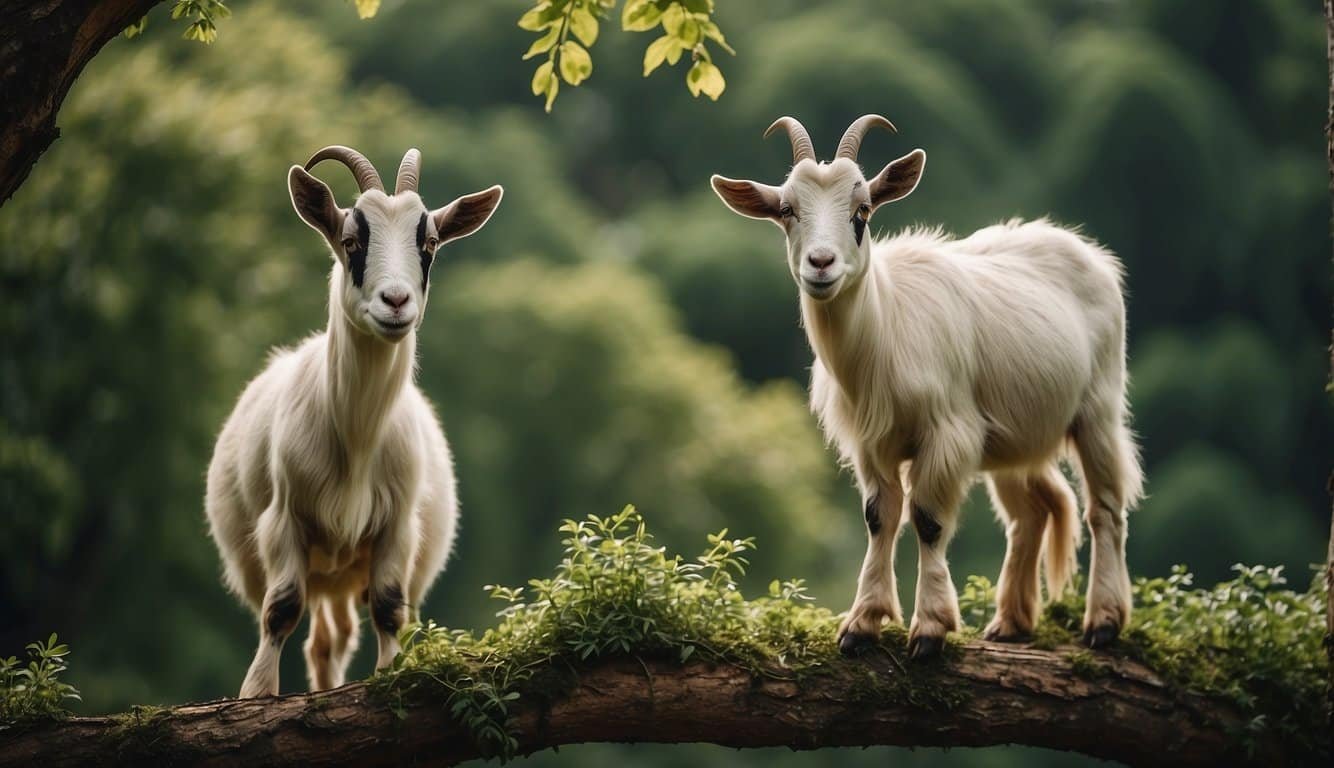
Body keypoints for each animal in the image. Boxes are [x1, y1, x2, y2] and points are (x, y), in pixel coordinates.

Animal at [205, 146, 501, 698]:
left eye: (429, 243)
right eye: (350, 241)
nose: (396, 301)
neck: (357, 439)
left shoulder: (396, 526)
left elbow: (388, 608)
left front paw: (392, 675)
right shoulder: (286, 520)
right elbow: (280, 610)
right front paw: (257, 693)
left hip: (351, 574)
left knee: (335, 637)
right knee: (313, 630)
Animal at [715, 115, 1141, 661]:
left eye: (862, 210)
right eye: (787, 210)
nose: (821, 263)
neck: (885, 330)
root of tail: (1090, 254)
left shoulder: (947, 430)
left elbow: (927, 518)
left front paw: (931, 628)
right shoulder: (872, 445)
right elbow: (880, 517)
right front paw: (861, 624)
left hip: (1097, 408)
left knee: (1104, 508)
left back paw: (1103, 622)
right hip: (1014, 434)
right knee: (1033, 512)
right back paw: (1010, 622)